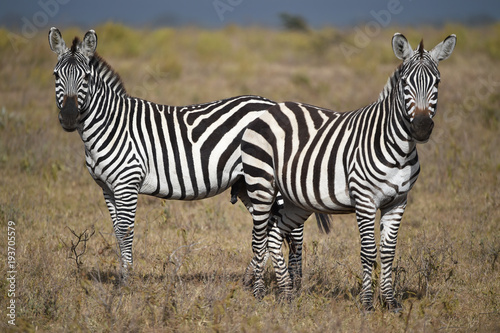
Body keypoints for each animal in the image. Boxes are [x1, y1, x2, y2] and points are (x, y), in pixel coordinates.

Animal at [47, 27, 332, 278]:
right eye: (55, 76)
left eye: (86, 78)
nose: (69, 118)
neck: (111, 125)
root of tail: (275, 105)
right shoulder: (106, 187)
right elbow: (117, 231)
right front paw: (122, 276)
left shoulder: (127, 182)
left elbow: (126, 232)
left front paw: (125, 282)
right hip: (248, 183)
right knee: (271, 227)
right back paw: (253, 279)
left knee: (294, 231)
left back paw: (295, 284)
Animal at [240, 33, 456, 308]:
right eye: (405, 83)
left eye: (437, 82)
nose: (421, 127)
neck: (399, 148)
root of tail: (273, 108)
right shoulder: (365, 199)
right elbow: (368, 251)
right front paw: (367, 303)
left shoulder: (398, 201)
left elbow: (388, 252)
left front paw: (390, 302)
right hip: (261, 186)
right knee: (259, 240)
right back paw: (258, 293)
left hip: (295, 200)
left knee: (274, 236)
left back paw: (287, 293)